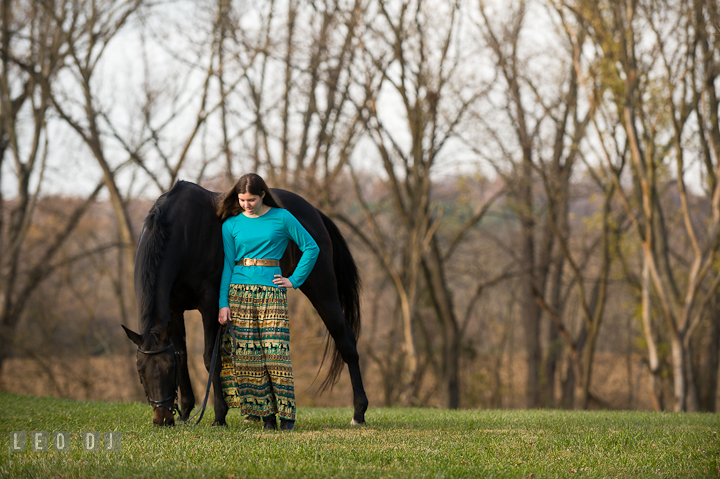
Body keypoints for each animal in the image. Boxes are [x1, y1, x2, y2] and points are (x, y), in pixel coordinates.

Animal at [121, 181, 368, 428]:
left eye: (168, 369)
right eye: (140, 370)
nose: (162, 419)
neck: (183, 233)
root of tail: (315, 213)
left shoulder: (210, 305)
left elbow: (210, 358)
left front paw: (219, 416)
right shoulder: (173, 308)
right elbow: (182, 354)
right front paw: (185, 412)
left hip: (322, 289)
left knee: (346, 342)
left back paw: (358, 413)